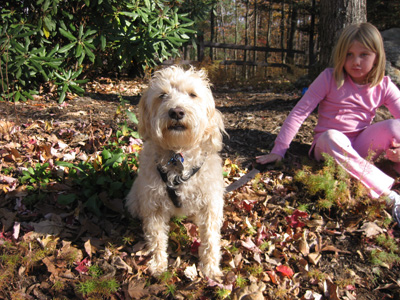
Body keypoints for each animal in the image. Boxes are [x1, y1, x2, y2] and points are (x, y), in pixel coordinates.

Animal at [126, 67, 225, 278]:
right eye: (162, 95)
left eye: (193, 94)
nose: (177, 111)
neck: (178, 154)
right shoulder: (154, 204)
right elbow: (156, 237)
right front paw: (158, 263)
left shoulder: (210, 204)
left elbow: (210, 238)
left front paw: (211, 268)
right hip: (135, 201)